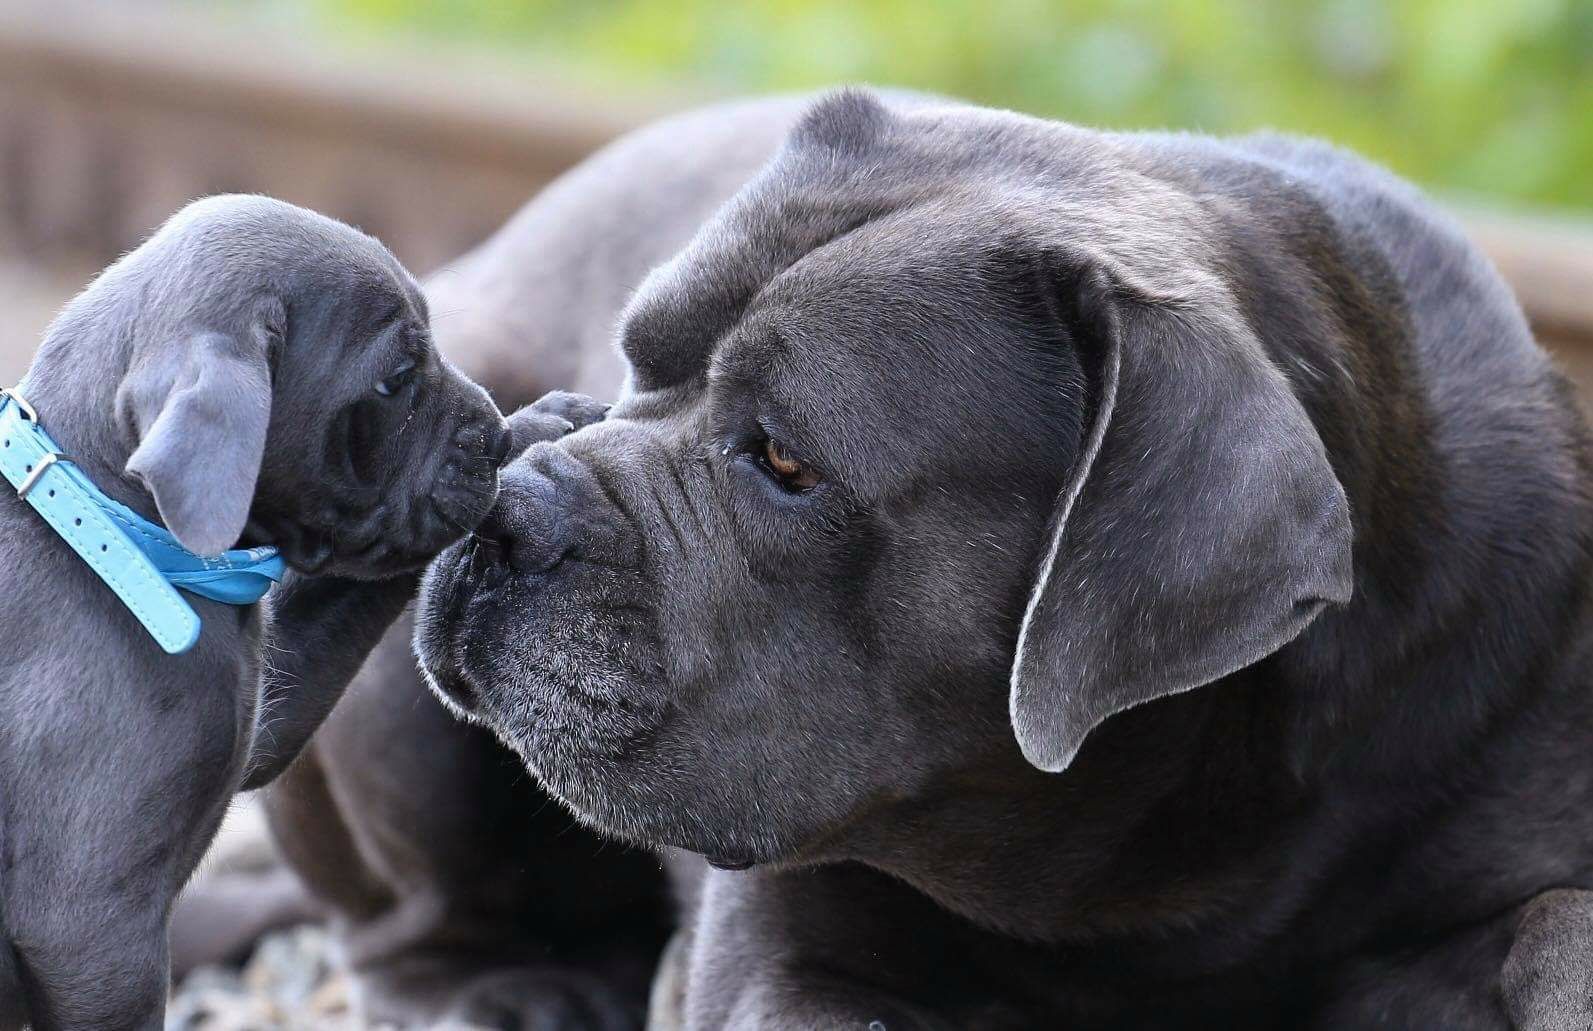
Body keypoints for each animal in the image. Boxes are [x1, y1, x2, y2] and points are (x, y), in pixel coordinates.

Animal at [0, 196, 598, 1031]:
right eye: (395, 380)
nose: (489, 429)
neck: (117, 536)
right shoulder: (90, 930)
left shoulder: (265, 718)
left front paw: (543, 426)